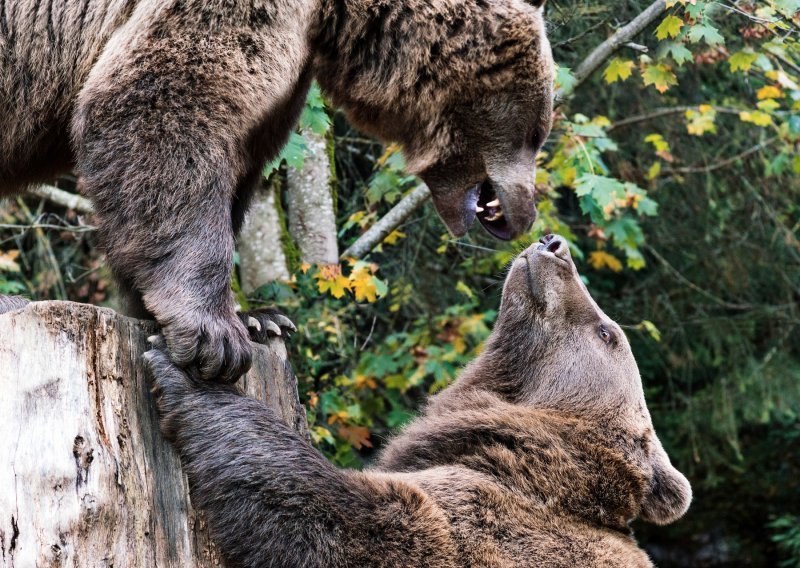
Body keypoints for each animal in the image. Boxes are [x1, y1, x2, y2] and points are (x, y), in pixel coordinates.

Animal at [0, 0, 552, 384]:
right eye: (537, 132)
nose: (523, 214)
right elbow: (158, 103)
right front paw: (215, 336)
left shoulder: (286, 81)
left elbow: (236, 165)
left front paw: (258, 318)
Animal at [145, 235, 692, 568]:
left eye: (606, 332)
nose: (553, 245)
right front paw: (260, 321)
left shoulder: (482, 523)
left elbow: (357, 519)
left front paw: (181, 374)